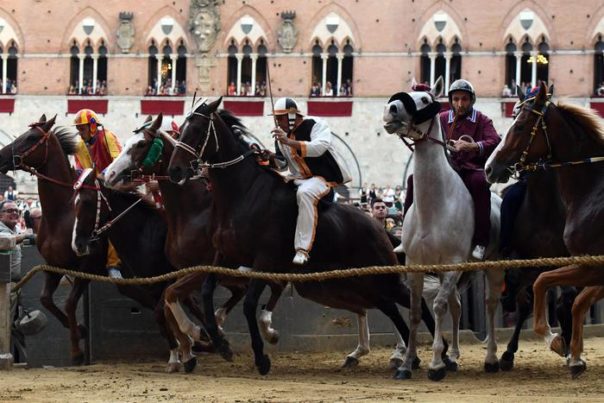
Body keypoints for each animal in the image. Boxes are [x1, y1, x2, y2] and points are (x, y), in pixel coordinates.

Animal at [168, 99, 446, 378]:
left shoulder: (263, 261)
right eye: (182, 129)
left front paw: (261, 357)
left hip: (381, 277)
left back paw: (440, 357)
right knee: (392, 308)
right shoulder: (225, 256)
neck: (244, 194)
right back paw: (409, 358)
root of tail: (377, 226)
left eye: (197, 129)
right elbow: (206, 293)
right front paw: (220, 342)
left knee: (416, 302)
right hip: (359, 283)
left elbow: (248, 305)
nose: (174, 170)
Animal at [382, 76, 504, 382]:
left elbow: (437, 307)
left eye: (426, 100)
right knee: (458, 305)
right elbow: (416, 312)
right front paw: (407, 363)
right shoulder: (415, 266)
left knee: (490, 304)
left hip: (491, 266)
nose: (391, 109)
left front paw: (436, 363)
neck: (434, 207)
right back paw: (455, 356)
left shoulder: (452, 264)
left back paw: (491, 358)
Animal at [486, 81, 604, 378]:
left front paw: (563, 345)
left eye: (519, 126)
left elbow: (564, 299)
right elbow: (540, 297)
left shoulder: (587, 264)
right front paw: (568, 350)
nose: (490, 168)